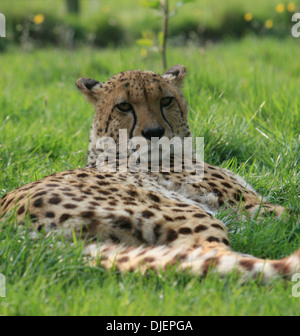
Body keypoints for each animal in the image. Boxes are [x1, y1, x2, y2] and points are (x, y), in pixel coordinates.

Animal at [0, 65, 300, 280]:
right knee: (209, 256)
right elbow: (290, 212)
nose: (154, 132)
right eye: (123, 106)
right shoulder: (255, 206)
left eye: (166, 101)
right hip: (186, 213)